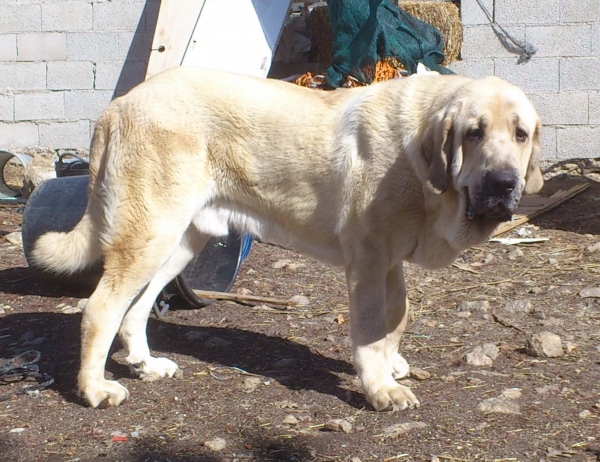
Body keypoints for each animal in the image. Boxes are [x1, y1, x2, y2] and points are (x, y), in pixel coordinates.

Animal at [31, 67, 544, 410]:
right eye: (474, 133)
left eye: (521, 134)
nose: (504, 183)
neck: (420, 163)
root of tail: (116, 106)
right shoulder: (367, 262)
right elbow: (370, 328)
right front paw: (380, 387)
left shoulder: (389, 262)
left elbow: (398, 315)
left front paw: (392, 363)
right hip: (150, 235)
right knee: (100, 308)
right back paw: (95, 389)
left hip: (178, 241)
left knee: (136, 307)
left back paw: (145, 363)